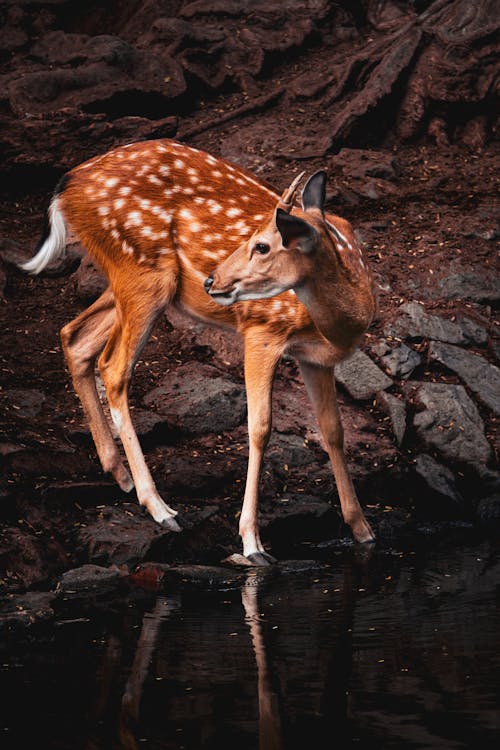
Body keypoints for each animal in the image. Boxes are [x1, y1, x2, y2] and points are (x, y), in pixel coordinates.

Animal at [22, 138, 376, 568]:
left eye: (262, 246)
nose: (212, 280)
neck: (338, 326)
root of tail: (66, 185)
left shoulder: (314, 358)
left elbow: (333, 431)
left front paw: (362, 530)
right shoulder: (263, 331)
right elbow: (260, 428)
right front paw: (252, 542)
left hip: (132, 281)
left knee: (75, 337)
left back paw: (119, 474)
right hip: (142, 272)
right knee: (113, 366)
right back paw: (160, 508)